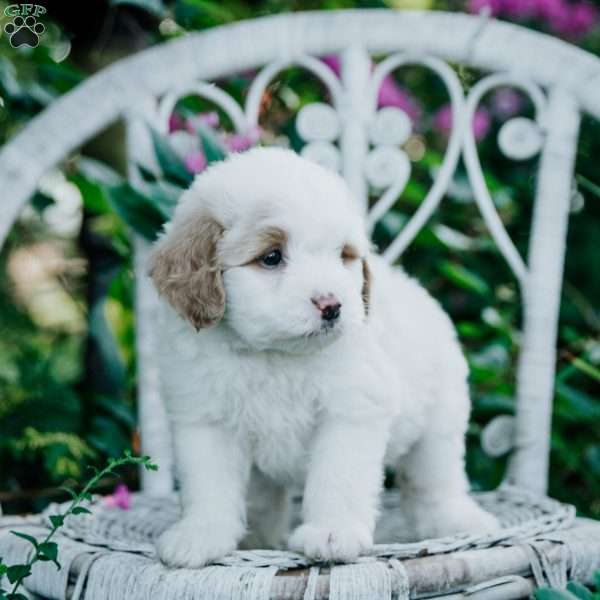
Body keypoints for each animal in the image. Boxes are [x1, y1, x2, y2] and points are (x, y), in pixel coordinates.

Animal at [146, 146, 496, 568]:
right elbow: (208, 484)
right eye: (272, 257)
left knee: (435, 477)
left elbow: (338, 476)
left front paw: (332, 532)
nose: (332, 305)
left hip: (440, 416)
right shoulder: (204, 419)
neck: (273, 355)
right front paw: (199, 535)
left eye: (343, 256)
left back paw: (456, 518)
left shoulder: (350, 411)